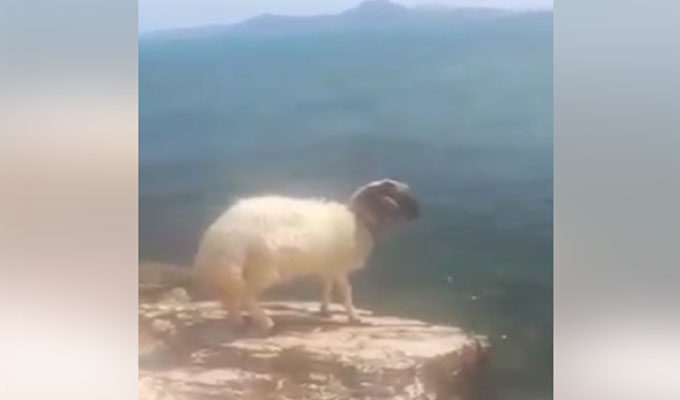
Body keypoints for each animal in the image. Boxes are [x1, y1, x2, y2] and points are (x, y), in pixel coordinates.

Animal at [193, 178, 420, 331]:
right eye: (400, 198)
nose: (418, 214)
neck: (359, 222)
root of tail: (222, 236)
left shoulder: (328, 264)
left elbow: (326, 285)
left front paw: (325, 309)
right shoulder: (340, 266)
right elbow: (346, 291)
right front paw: (354, 316)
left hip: (238, 268)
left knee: (233, 294)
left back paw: (237, 320)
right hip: (263, 266)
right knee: (246, 294)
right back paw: (264, 321)